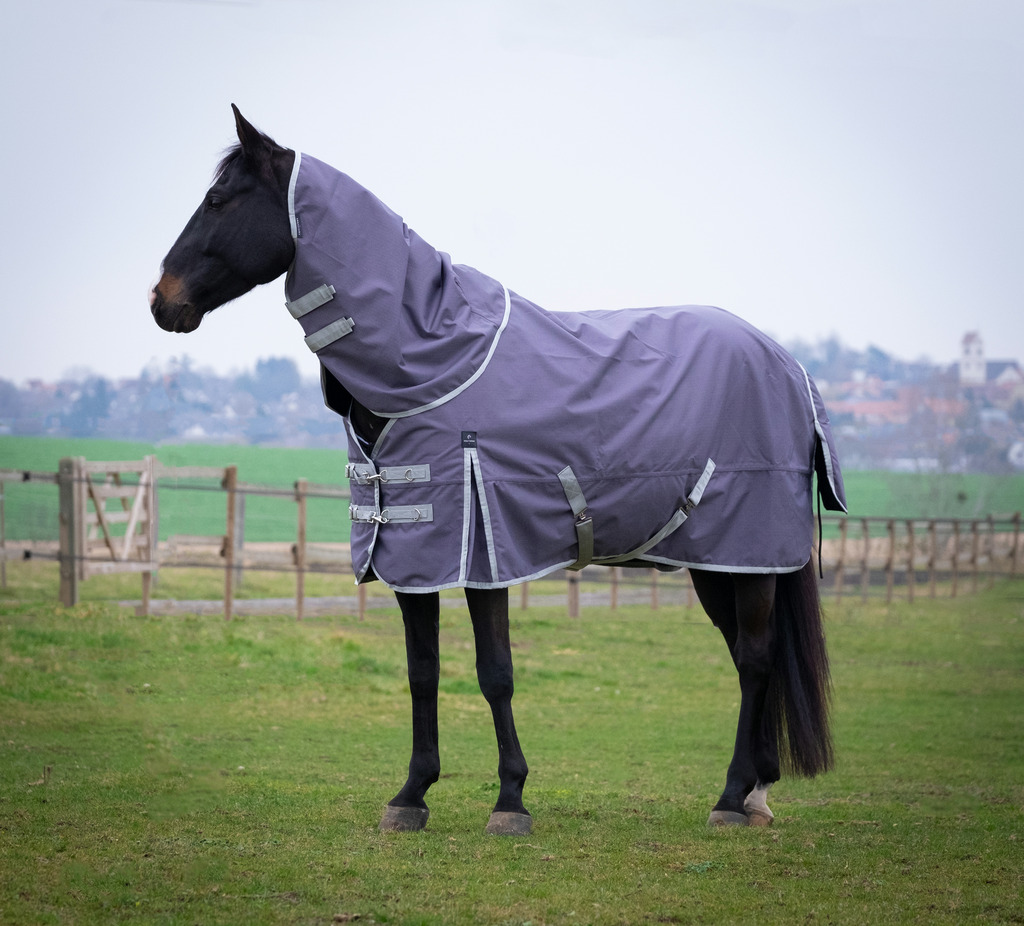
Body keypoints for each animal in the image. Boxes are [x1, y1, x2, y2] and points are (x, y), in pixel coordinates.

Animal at [150, 106, 846, 835]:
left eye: (218, 200)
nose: (160, 301)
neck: (433, 359)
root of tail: (791, 368)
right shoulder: (410, 552)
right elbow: (423, 671)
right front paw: (411, 795)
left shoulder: (482, 549)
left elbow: (495, 672)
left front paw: (510, 800)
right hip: (719, 562)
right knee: (747, 658)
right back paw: (756, 791)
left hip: (749, 554)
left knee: (756, 659)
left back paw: (732, 798)